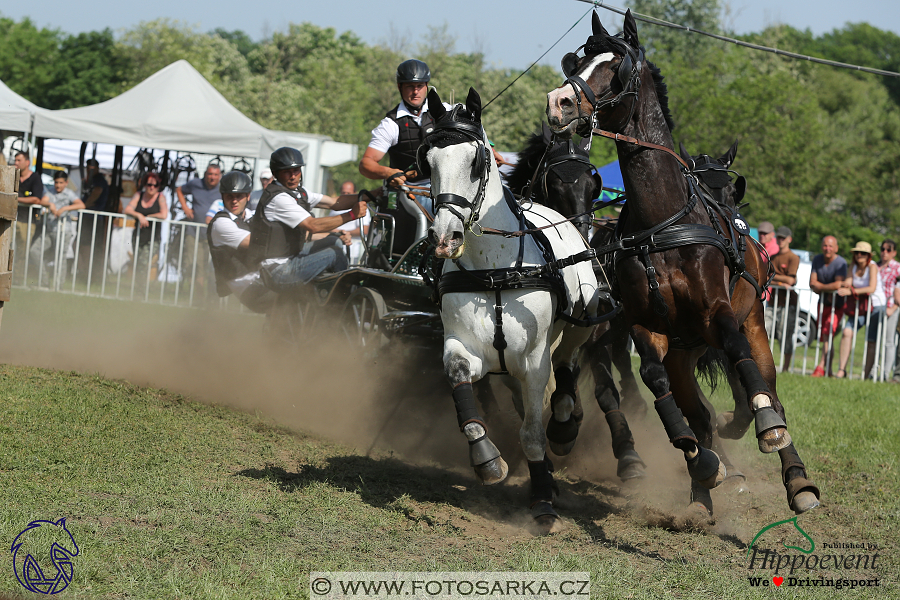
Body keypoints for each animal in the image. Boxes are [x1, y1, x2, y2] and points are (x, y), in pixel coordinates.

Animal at [422, 86, 604, 528]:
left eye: (477, 161)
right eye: (428, 160)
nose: (444, 238)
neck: (495, 269)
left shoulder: (534, 360)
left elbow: (533, 433)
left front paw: (541, 500)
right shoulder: (464, 346)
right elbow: (461, 385)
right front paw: (487, 460)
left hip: (580, 323)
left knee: (566, 367)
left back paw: (564, 427)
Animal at [544, 10, 820, 516]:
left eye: (616, 66)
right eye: (577, 59)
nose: (559, 102)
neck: (664, 224)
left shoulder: (718, 314)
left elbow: (737, 357)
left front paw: (765, 431)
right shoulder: (644, 325)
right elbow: (654, 381)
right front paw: (697, 458)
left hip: (753, 324)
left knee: (766, 387)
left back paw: (795, 478)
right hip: (683, 351)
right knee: (694, 408)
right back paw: (701, 489)